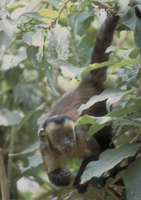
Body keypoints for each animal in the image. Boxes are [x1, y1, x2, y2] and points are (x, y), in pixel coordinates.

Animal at [38, 12, 119, 192]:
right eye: (59, 136)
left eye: (68, 134)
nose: (67, 142)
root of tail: (85, 85)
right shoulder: (44, 146)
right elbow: (51, 174)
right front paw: (61, 176)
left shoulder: (80, 134)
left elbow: (96, 156)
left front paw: (79, 181)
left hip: (102, 105)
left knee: (103, 134)